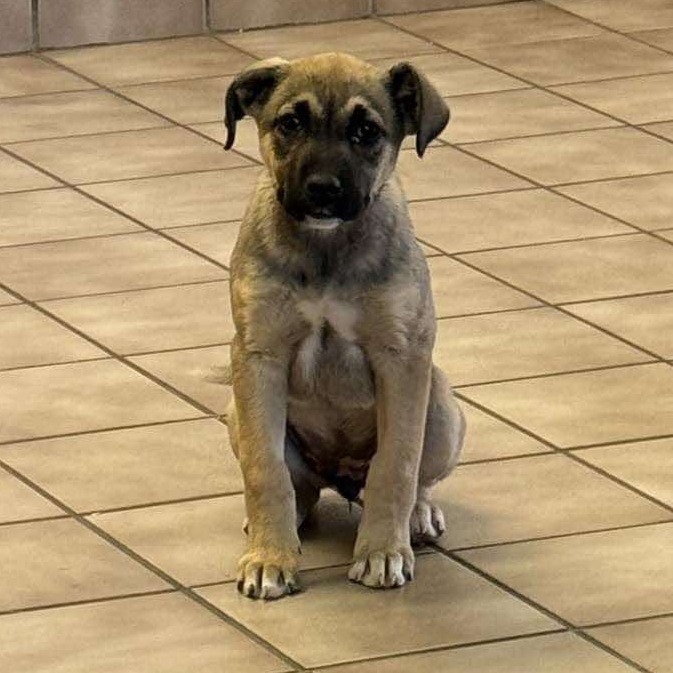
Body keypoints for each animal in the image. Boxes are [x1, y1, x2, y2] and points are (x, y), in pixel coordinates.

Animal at [223, 52, 464, 600]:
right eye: (290, 123)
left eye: (366, 131)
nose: (322, 191)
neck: (325, 249)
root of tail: (341, 478)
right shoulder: (259, 356)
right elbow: (265, 469)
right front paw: (269, 558)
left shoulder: (401, 359)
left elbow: (397, 464)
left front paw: (383, 552)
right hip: (234, 409)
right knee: (301, 488)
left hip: (440, 403)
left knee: (413, 477)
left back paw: (417, 518)